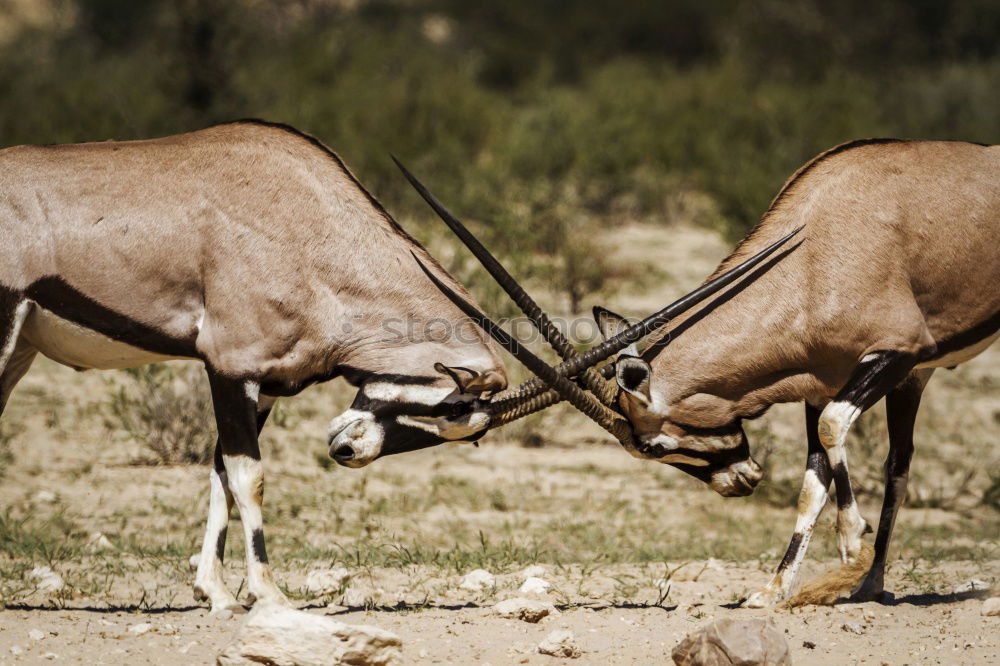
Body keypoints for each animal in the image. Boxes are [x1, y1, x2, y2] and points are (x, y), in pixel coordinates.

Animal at [400, 140, 1000, 608]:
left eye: (657, 447)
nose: (742, 481)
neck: (813, 252)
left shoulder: (894, 353)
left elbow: (832, 431)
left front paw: (851, 544)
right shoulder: (826, 380)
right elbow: (814, 477)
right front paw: (775, 590)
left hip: (908, 368)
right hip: (913, 379)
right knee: (900, 463)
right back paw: (872, 584)